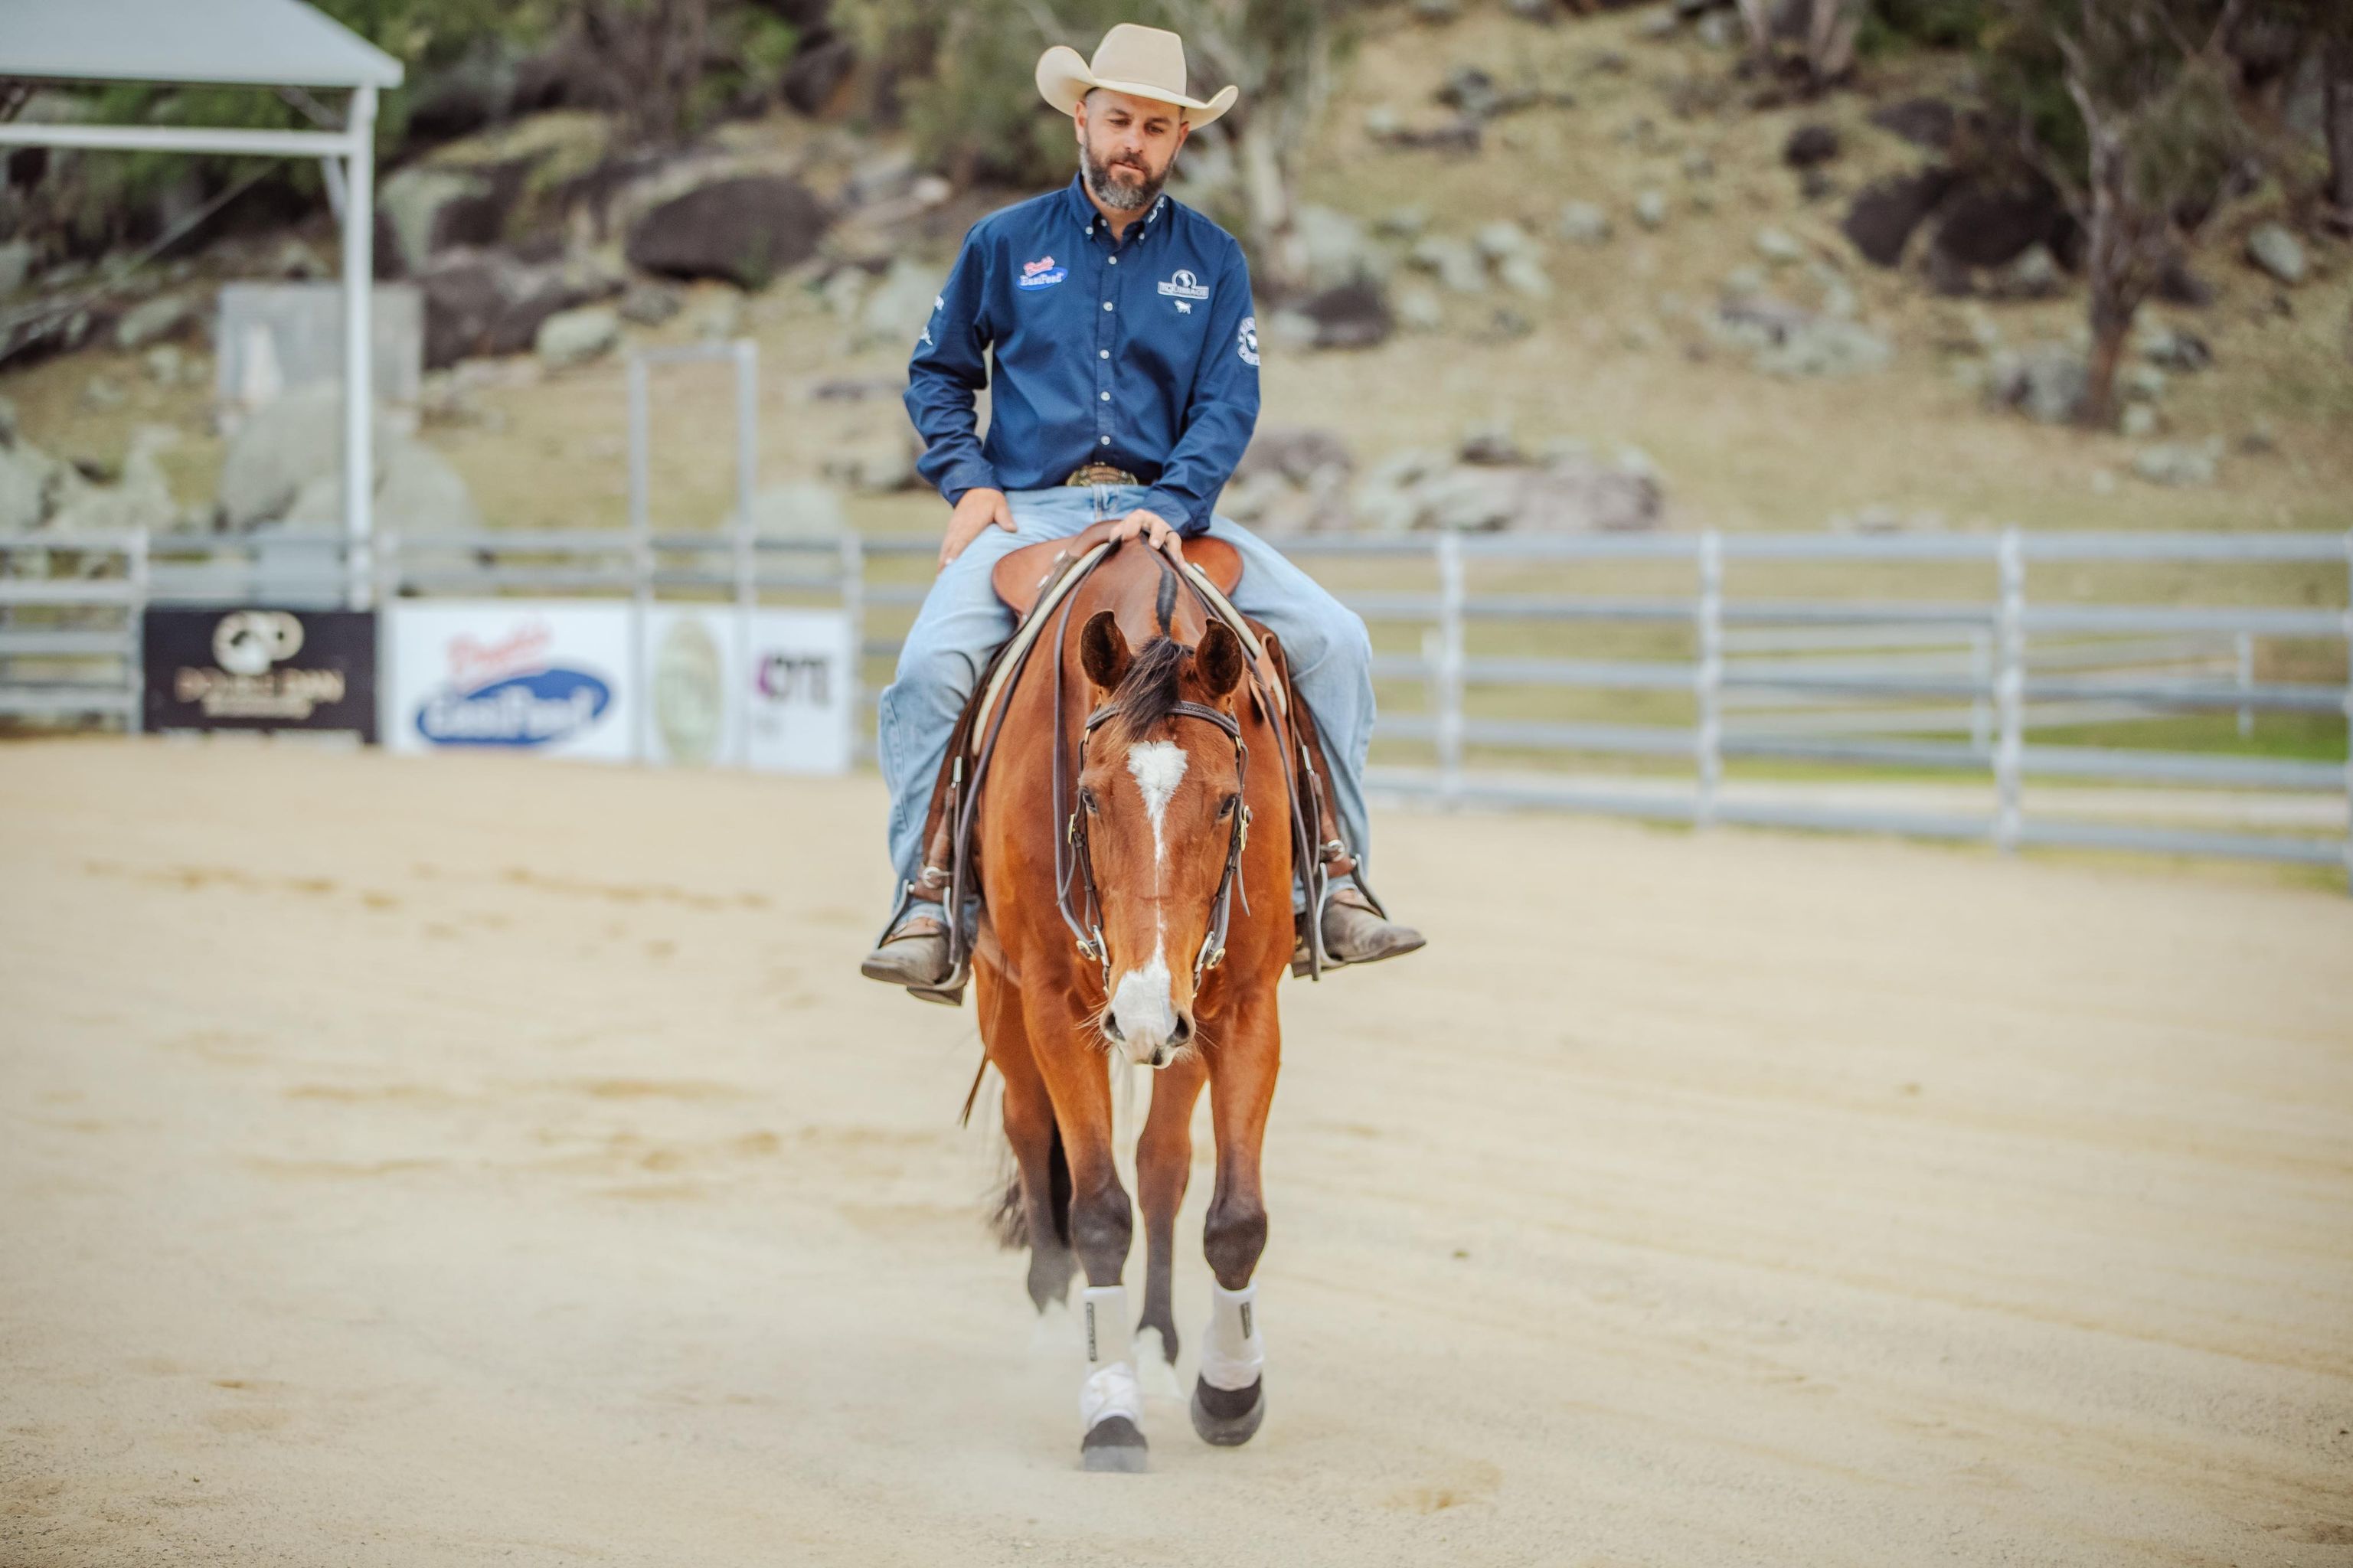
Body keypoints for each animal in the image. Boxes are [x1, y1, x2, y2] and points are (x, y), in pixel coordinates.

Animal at [968, 534, 1296, 1472]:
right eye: (1087, 794)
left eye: (1227, 800)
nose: (1144, 1011)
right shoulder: (1052, 1002)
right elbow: (1097, 1210)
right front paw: (1108, 1407)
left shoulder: (1240, 1005)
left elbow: (1232, 1216)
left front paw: (1230, 1391)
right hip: (1003, 994)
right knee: (1028, 1127)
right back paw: (1056, 1325)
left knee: (1161, 1165)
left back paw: (1153, 1343)